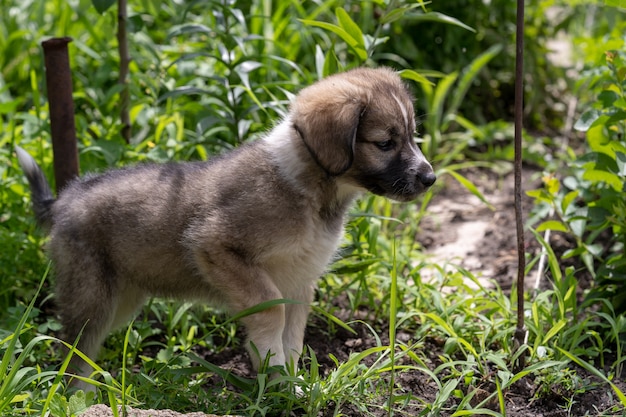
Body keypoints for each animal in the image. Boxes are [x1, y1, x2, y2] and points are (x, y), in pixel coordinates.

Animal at [15, 67, 434, 384]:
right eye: (384, 143)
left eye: (413, 136)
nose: (430, 179)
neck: (312, 190)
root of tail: (63, 200)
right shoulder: (217, 247)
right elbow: (272, 315)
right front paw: (273, 376)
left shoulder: (298, 281)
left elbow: (293, 334)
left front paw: (290, 385)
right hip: (92, 299)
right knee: (73, 354)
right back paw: (81, 398)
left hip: (123, 299)